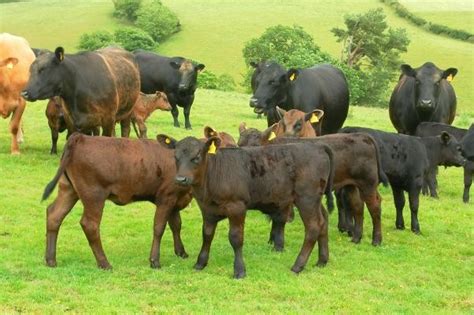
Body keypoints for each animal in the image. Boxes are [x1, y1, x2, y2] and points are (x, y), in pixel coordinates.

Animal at [41, 135, 193, 270]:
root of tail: (81, 137)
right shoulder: (166, 197)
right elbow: (159, 228)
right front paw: (155, 261)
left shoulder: (175, 199)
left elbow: (176, 225)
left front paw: (181, 252)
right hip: (94, 195)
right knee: (90, 224)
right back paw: (104, 264)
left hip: (68, 189)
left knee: (54, 215)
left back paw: (50, 260)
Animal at [158, 136, 334, 278]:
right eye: (175, 157)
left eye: (197, 157)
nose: (180, 179)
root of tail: (317, 146)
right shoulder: (208, 210)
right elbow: (207, 235)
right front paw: (200, 263)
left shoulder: (237, 207)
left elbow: (236, 238)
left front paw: (239, 270)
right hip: (315, 199)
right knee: (323, 221)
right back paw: (322, 261)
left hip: (306, 198)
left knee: (313, 227)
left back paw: (298, 266)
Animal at [239, 124, 386, 246]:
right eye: (239, 145)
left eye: (255, 146)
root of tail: (362, 136)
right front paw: (271, 240)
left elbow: (279, 218)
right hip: (352, 185)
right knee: (358, 206)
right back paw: (356, 238)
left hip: (368, 184)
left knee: (375, 206)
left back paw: (376, 240)